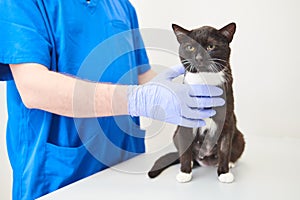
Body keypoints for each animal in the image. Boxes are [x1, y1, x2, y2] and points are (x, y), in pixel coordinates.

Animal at [148, 23, 244, 183]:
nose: (199, 58)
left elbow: (225, 148)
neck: (205, 81)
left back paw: (231, 163)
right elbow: (186, 149)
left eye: (211, 46)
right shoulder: (186, 122)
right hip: (176, 134)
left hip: (239, 137)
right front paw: (185, 172)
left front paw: (224, 173)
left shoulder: (227, 120)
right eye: (190, 47)